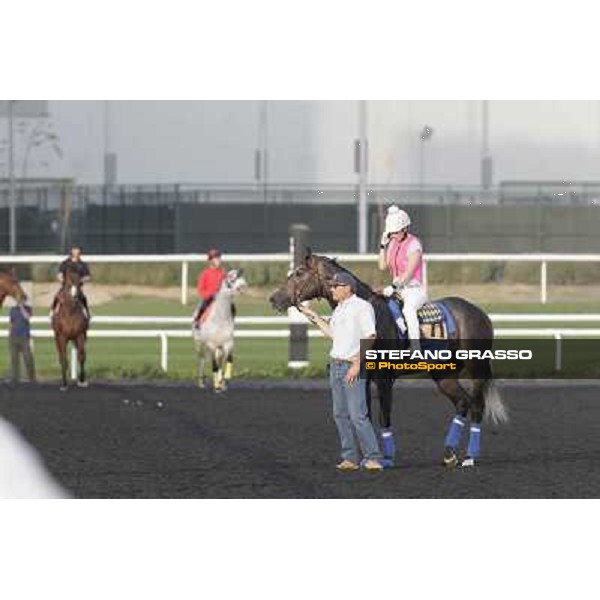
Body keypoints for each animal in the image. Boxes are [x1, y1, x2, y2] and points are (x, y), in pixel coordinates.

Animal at [270, 248, 508, 468]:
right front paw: (366, 458)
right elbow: (363, 414)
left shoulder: (384, 378)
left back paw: (469, 457)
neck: (369, 313)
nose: (273, 299)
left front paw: (386, 458)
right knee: (462, 402)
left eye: (299, 272)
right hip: (444, 374)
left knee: (477, 406)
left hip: (476, 368)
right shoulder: (362, 378)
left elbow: (383, 416)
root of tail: (480, 312)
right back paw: (449, 454)